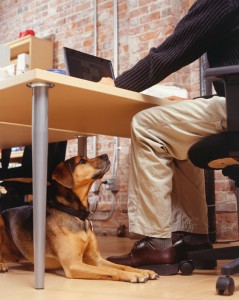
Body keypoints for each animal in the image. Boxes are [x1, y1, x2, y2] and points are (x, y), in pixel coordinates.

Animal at [0, 154, 159, 282]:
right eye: (82, 160)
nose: (106, 155)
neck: (77, 214)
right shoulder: (73, 264)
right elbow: (110, 270)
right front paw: (134, 275)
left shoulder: (95, 258)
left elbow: (120, 266)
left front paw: (142, 270)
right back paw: (2, 265)